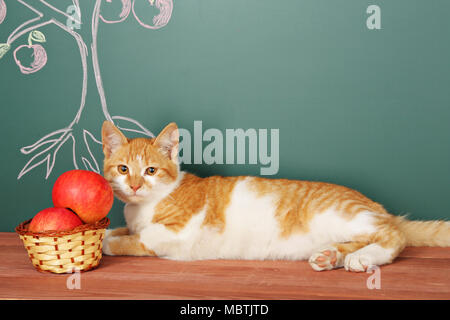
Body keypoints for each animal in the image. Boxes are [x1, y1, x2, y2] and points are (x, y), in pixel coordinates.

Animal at [100, 121, 448, 272]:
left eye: (150, 171)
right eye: (123, 169)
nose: (135, 186)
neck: (143, 208)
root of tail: (378, 206)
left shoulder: (172, 235)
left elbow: (132, 241)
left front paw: (106, 243)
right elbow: (120, 230)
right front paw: (106, 231)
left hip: (345, 216)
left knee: (394, 235)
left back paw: (363, 257)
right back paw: (330, 256)